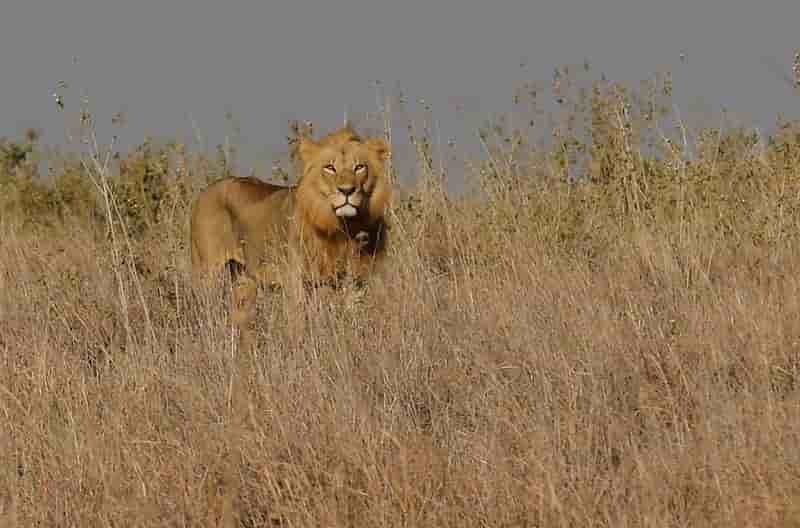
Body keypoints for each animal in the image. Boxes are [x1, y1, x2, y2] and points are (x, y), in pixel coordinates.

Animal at [190, 125, 391, 342]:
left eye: (359, 167)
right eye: (330, 167)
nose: (347, 190)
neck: (344, 227)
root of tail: (205, 191)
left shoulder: (357, 282)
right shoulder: (295, 282)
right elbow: (298, 325)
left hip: (244, 281)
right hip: (206, 274)